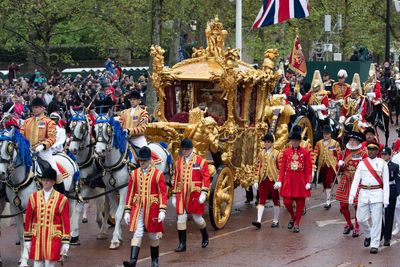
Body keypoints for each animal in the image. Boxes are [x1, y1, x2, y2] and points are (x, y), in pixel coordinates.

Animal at [0, 129, 79, 266]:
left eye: (9, 147)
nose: (1, 173)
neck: (21, 180)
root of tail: (65, 154)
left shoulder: (30, 208)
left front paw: (25, 260)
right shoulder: (16, 209)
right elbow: (21, 233)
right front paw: (23, 258)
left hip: (70, 198)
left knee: (69, 220)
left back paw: (63, 252)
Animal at [67, 111, 108, 245]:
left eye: (82, 127)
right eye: (70, 127)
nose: (72, 149)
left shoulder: (89, 186)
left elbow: (79, 208)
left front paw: (74, 234)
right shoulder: (77, 187)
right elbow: (73, 209)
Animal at [94, 115, 172, 251]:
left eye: (108, 129)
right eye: (93, 129)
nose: (99, 151)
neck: (116, 162)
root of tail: (161, 145)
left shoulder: (124, 189)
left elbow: (118, 213)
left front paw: (115, 240)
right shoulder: (110, 189)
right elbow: (116, 210)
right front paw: (119, 236)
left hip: (164, 183)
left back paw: (158, 231)